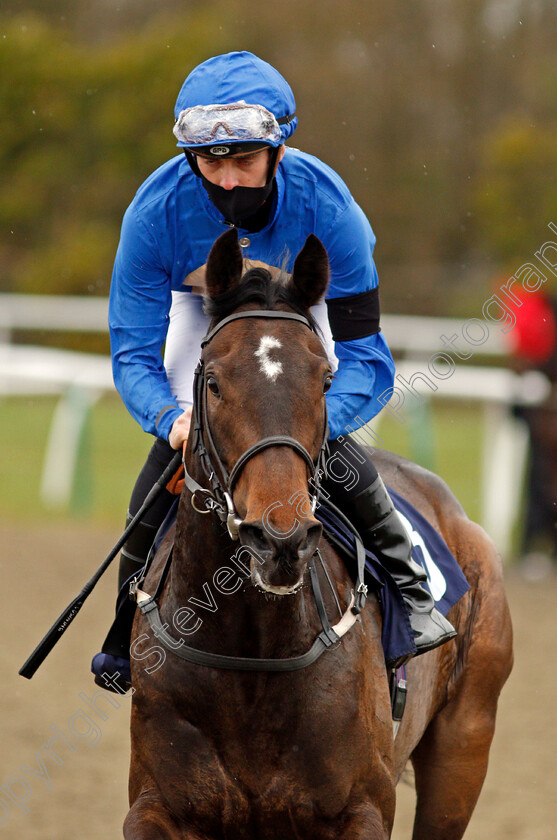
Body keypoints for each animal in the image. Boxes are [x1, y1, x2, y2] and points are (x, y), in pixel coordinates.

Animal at [122, 230, 512, 840]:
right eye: (212, 382)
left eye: (325, 380)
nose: (278, 540)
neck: (251, 654)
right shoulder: (156, 803)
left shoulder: (362, 810)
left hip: (465, 743)